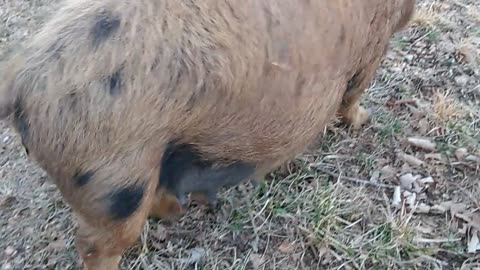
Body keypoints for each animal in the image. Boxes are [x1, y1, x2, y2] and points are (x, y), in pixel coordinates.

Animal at [0, 0, 414, 268]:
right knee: (96, 245)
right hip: (110, 179)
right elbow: (354, 91)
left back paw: (180, 210)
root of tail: (20, 78)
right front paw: (363, 119)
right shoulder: (371, 49)